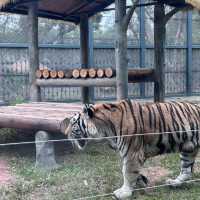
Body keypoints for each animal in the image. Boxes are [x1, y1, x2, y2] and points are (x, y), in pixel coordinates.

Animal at [63, 99, 200, 199]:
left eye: (73, 123)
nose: (65, 134)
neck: (106, 130)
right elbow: (131, 171)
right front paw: (141, 181)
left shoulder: (132, 153)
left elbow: (127, 172)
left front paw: (124, 192)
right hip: (188, 148)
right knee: (187, 170)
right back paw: (175, 183)